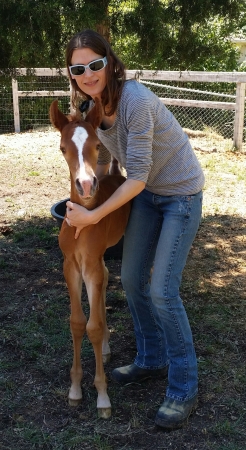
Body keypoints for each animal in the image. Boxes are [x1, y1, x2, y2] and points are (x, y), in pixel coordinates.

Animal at [49, 98, 131, 418]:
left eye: (97, 145)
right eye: (63, 148)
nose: (85, 185)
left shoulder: (91, 265)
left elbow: (92, 326)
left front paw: (102, 396)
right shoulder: (71, 266)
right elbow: (77, 322)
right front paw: (74, 390)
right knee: (107, 279)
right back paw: (107, 349)